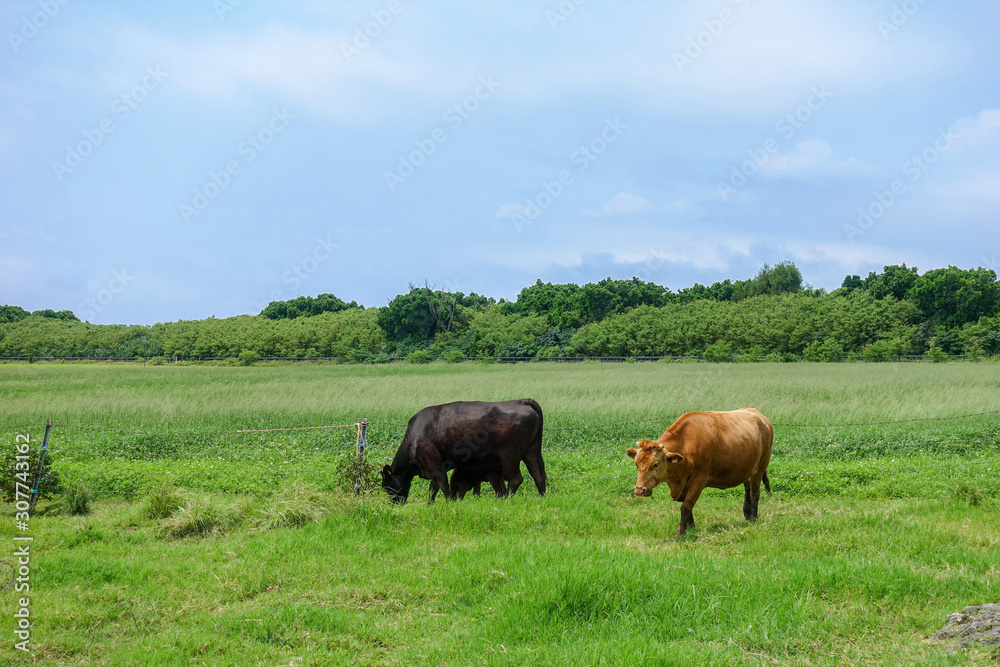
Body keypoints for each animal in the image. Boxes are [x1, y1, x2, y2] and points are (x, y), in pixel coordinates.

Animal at [378, 400, 548, 504]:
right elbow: (433, 488)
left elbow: (443, 485)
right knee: (538, 476)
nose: (395, 503)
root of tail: (520, 401)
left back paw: (505, 499)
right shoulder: (434, 467)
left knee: (515, 479)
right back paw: (542, 499)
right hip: (531, 451)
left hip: (509, 456)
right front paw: (429, 504)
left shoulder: (435, 465)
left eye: (386, 486)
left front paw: (449, 503)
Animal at [624, 408, 772, 536]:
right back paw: (747, 514)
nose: (639, 490)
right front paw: (691, 527)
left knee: (754, 493)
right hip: (748, 468)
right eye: (636, 464)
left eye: (655, 464)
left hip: (761, 467)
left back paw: (754, 518)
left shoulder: (699, 481)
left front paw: (680, 532)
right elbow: (687, 508)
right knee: (747, 488)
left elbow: (686, 506)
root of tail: (755, 411)